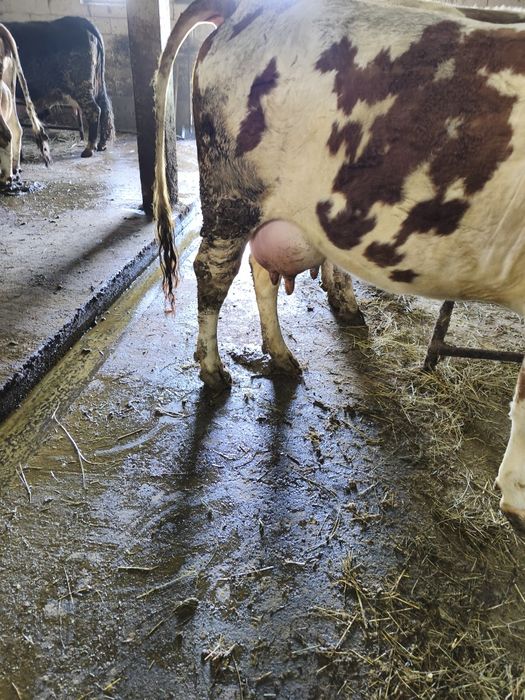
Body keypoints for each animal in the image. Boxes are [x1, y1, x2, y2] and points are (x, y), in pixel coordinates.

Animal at [4, 16, 114, 158]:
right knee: (105, 108)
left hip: (81, 85)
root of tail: (80, 20)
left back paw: (89, 149)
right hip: (96, 84)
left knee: (95, 110)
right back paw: (101, 144)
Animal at [153, 0, 525, 529]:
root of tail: (241, 10)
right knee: (213, 273)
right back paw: (214, 371)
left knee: (261, 273)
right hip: (232, 193)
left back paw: (282, 355)